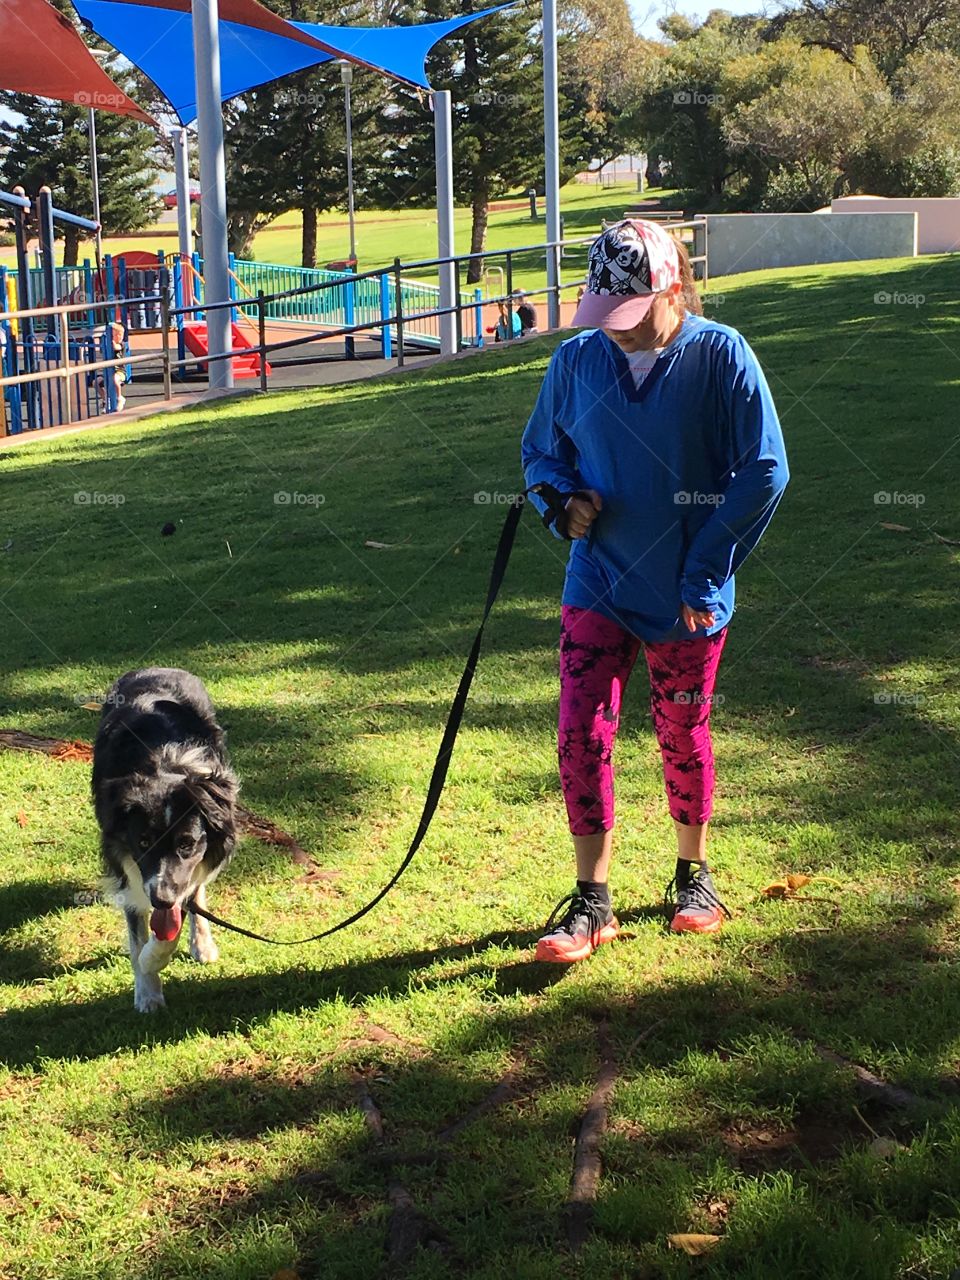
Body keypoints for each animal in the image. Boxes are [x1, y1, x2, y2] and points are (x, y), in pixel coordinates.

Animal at [90, 670, 239, 1008]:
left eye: (186, 844)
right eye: (143, 843)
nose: (160, 898)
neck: (163, 766)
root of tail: (156, 668)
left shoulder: (181, 876)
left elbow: (174, 918)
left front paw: (151, 961)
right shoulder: (128, 867)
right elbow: (140, 933)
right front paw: (147, 989)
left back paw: (202, 943)